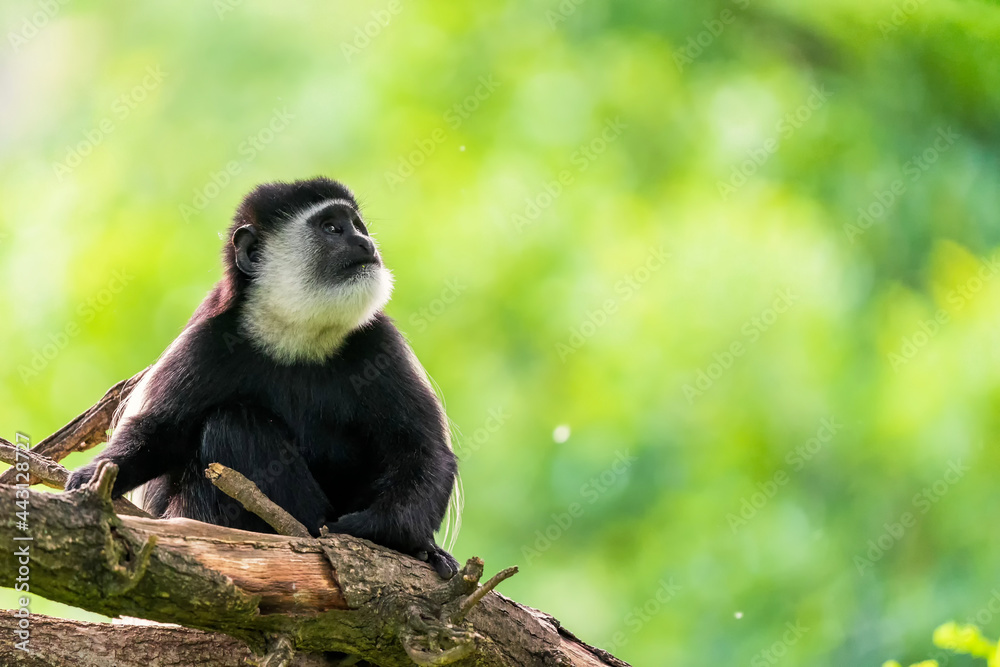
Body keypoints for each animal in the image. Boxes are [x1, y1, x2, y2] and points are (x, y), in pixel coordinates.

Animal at [66, 177, 461, 578]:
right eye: (332, 228)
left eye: (357, 225)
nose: (366, 244)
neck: (297, 334)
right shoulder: (205, 345)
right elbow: (159, 433)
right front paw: (92, 477)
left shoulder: (381, 343)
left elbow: (423, 450)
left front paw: (376, 531)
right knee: (233, 424)